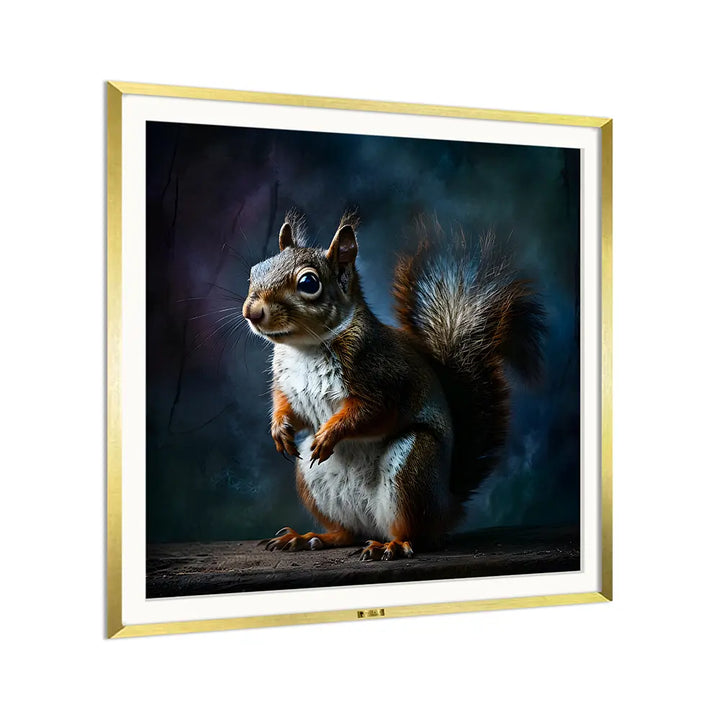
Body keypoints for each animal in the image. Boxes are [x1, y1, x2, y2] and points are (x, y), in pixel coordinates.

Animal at [242, 213, 546, 561]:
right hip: (313, 479)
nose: (252, 312)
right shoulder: (289, 388)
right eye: (255, 270)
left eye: (309, 283)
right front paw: (279, 429)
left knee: (415, 534)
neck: (305, 348)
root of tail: (447, 507)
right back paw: (311, 538)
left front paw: (329, 434)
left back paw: (394, 545)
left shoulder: (383, 378)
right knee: (347, 533)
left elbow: (370, 414)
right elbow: (289, 408)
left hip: (411, 467)